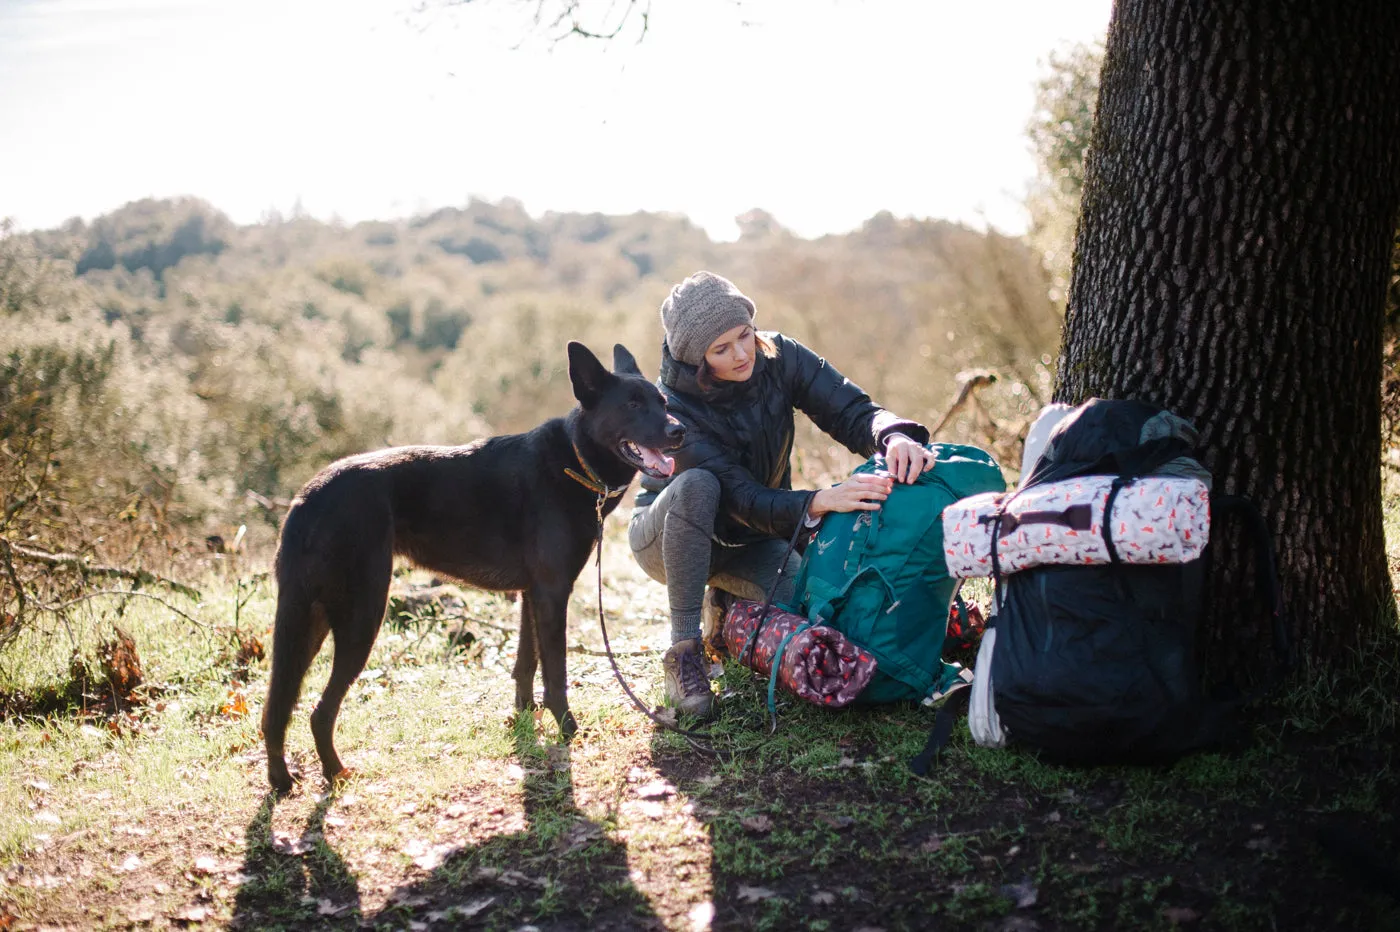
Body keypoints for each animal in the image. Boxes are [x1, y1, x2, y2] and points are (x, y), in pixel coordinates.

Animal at [263, 341, 683, 789]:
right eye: (633, 404)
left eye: (662, 403)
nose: (679, 431)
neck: (575, 459)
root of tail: (305, 498)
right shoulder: (552, 594)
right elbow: (555, 673)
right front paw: (567, 730)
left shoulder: (530, 596)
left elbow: (525, 663)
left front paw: (524, 720)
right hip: (360, 616)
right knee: (318, 711)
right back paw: (335, 773)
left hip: (307, 621)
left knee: (276, 709)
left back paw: (282, 780)